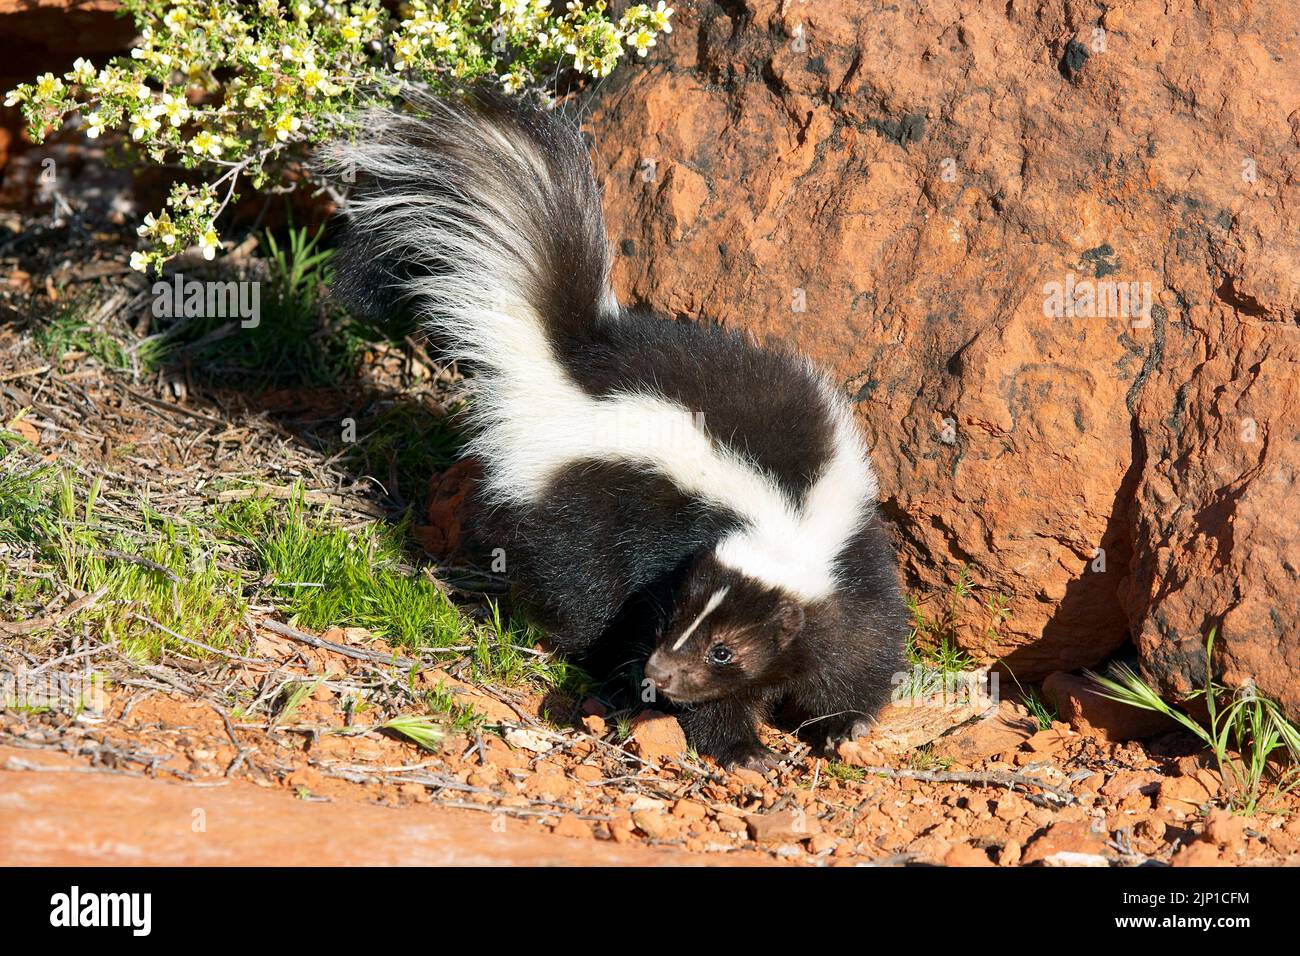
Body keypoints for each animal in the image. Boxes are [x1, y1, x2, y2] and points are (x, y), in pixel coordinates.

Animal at [327, 93, 904, 775]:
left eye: (723, 650)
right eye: (675, 618)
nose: (659, 671)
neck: (789, 512)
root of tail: (574, 366)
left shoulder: (847, 553)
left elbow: (858, 640)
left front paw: (843, 724)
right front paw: (742, 749)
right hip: (579, 513)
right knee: (584, 595)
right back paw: (600, 672)